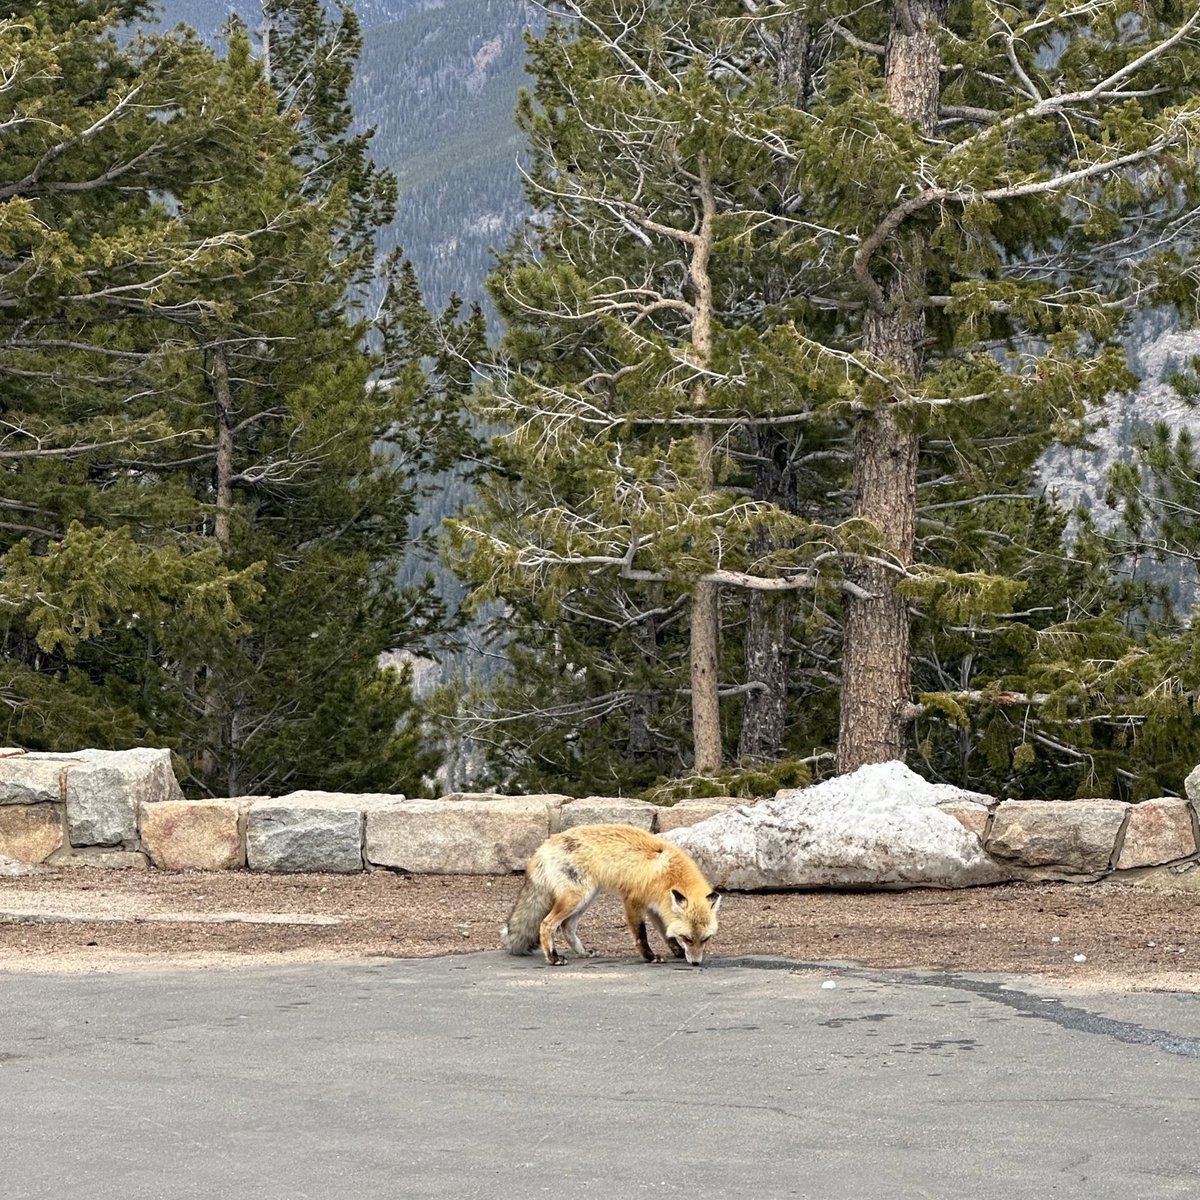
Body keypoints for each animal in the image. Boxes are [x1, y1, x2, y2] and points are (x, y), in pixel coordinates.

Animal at [499, 825, 720, 964]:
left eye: (705, 939)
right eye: (688, 938)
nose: (696, 963)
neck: (668, 875)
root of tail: (544, 845)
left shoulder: (655, 907)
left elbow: (666, 933)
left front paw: (677, 952)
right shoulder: (633, 901)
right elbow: (641, 936)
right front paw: (650, 957)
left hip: (586, 899)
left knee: (566, 927)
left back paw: (582, 953)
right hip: (576, 898)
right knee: (547, 924)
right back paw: (553, 958)